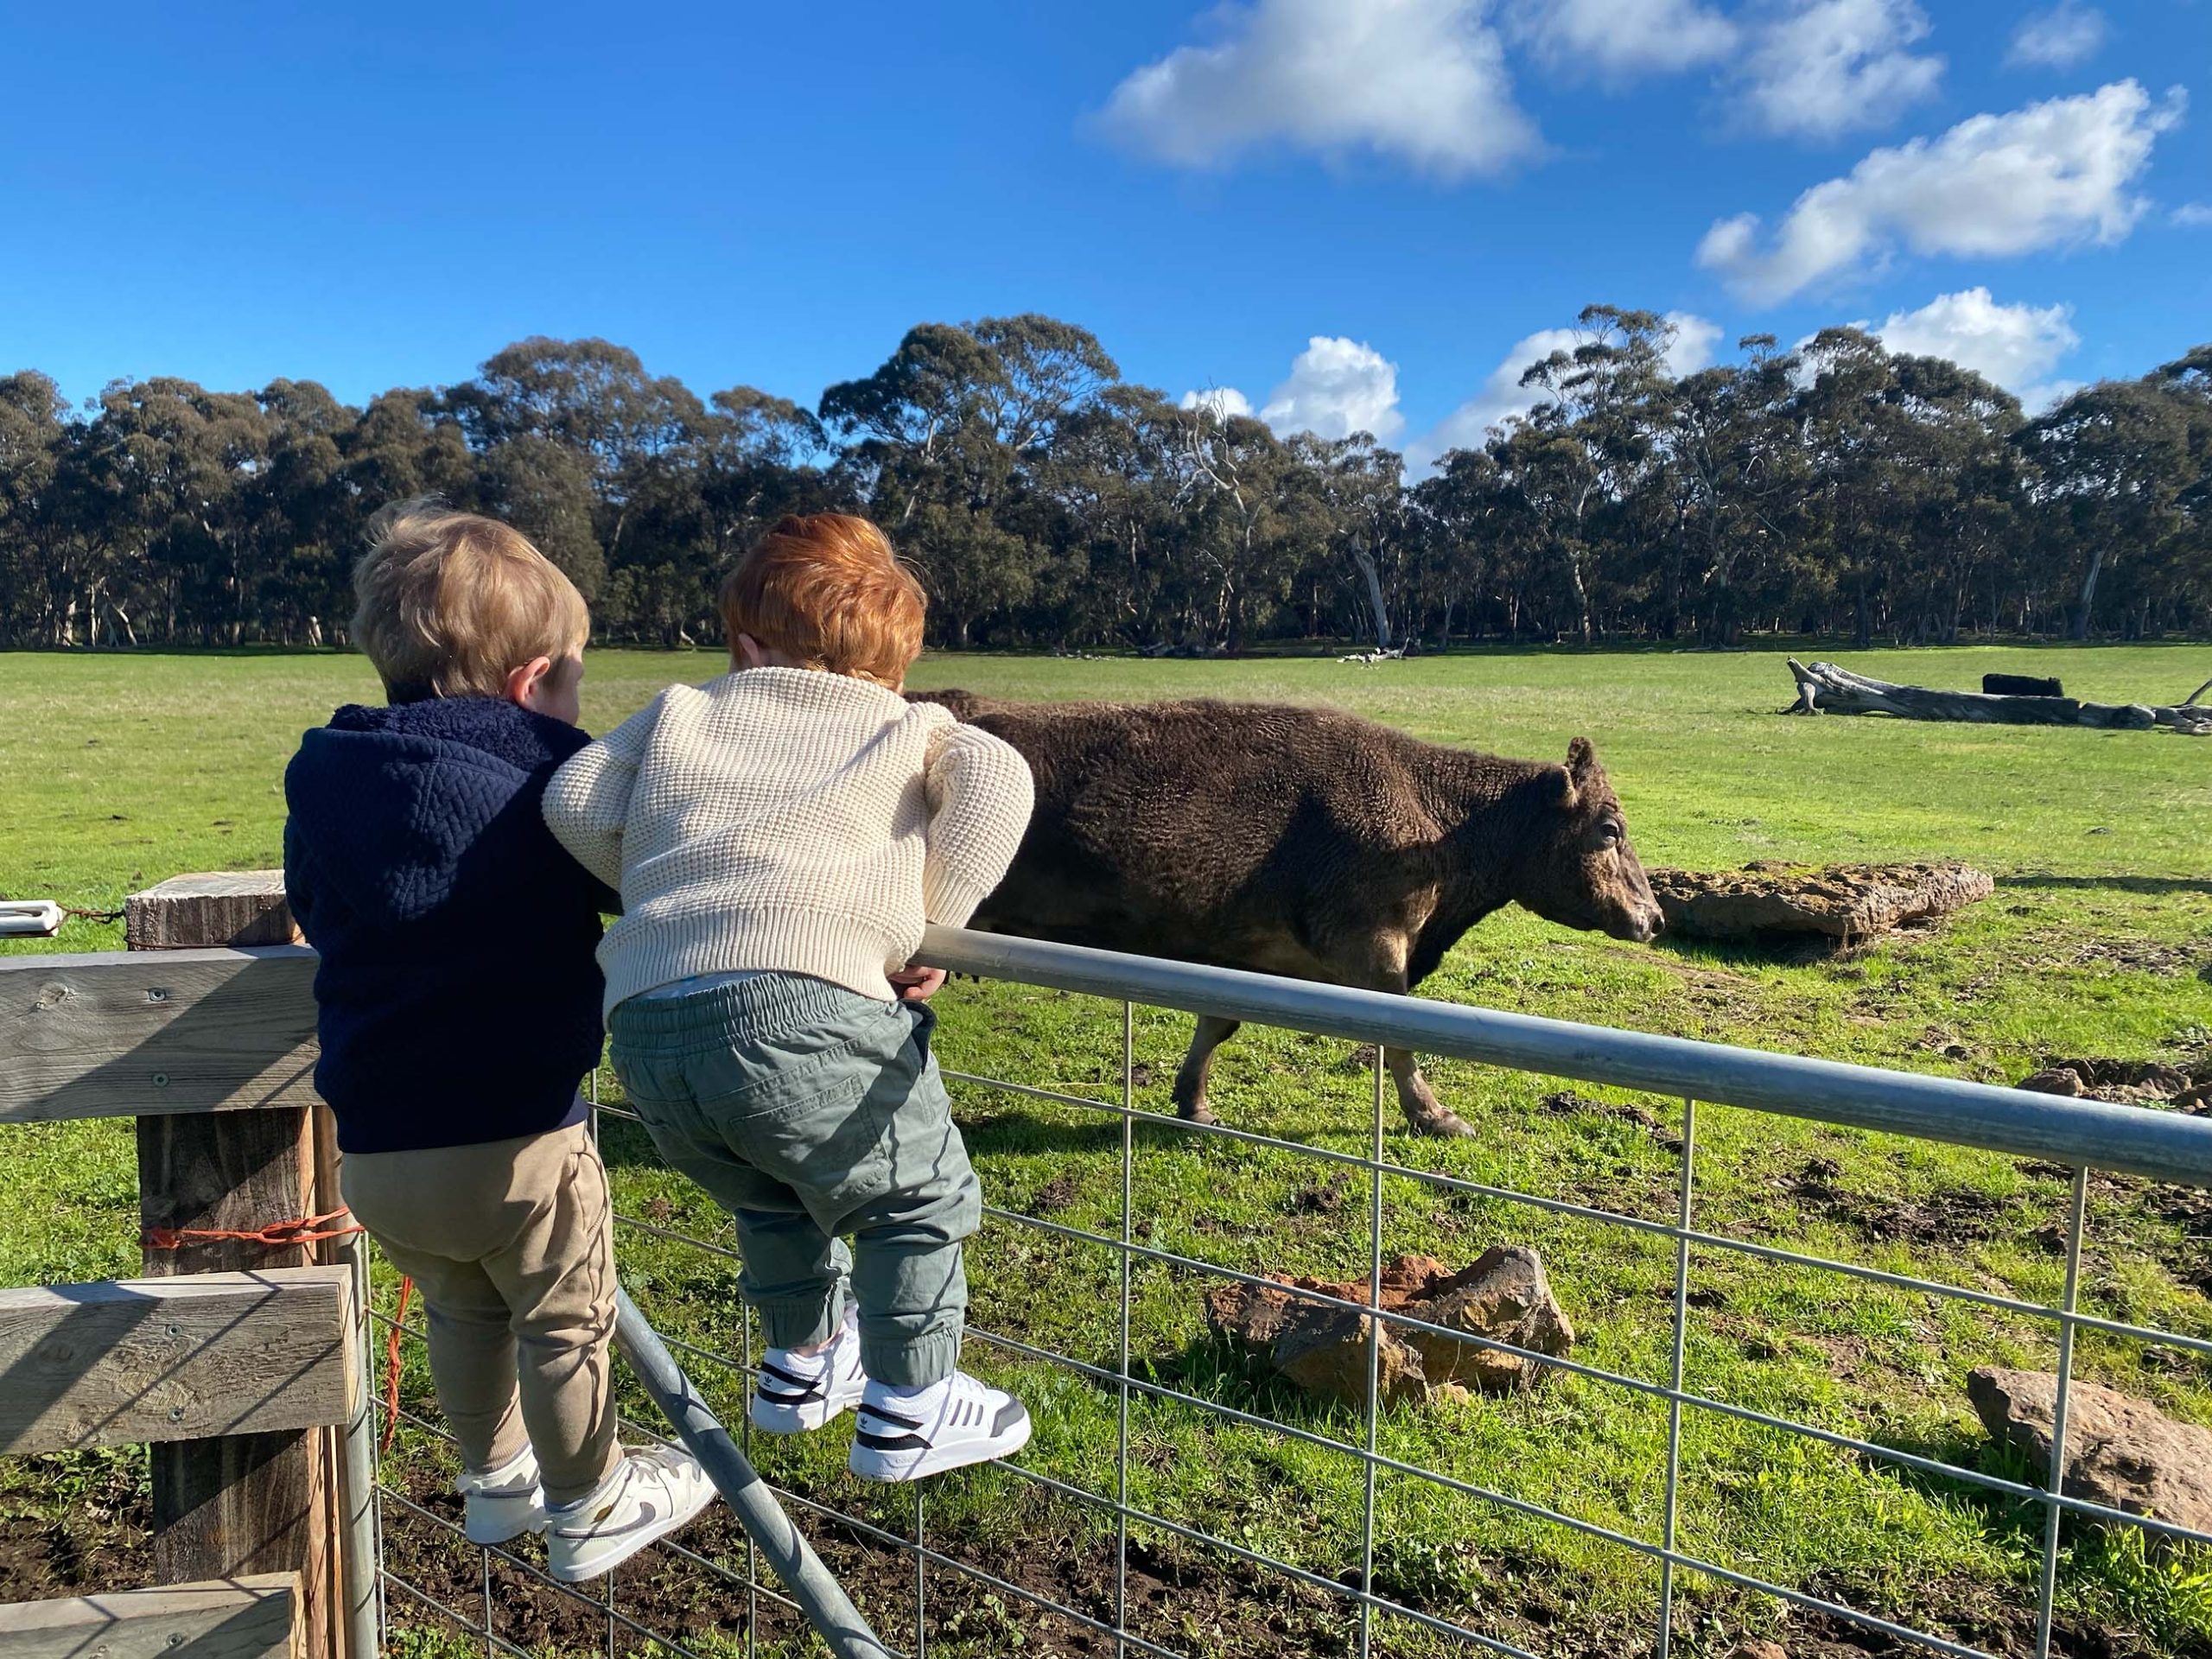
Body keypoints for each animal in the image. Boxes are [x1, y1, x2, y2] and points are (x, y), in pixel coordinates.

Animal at [902, 690, 1663, 1141]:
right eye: (1610, 830)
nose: (1654, 917)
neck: (1432, 819)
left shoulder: (1239, 954)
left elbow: (1217, 1024)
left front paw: (1193, 1103)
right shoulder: (1376, 947)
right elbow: (1401, 1040)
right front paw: (1434, 1114)